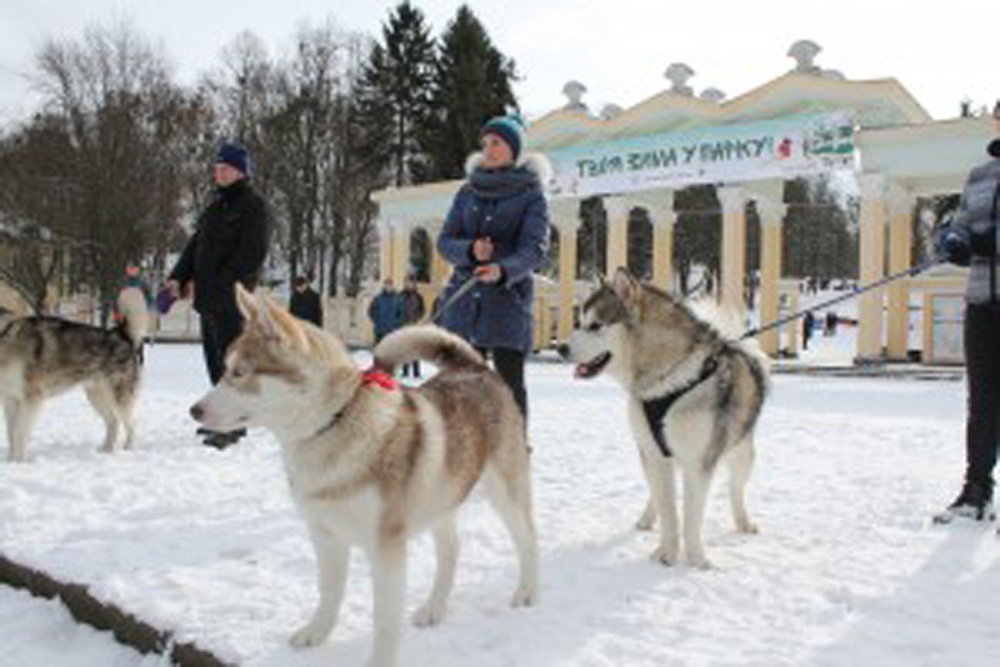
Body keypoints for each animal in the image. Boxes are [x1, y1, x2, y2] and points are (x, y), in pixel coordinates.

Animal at [0, 287, 148, 462]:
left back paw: (128, 450)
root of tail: (119, 333)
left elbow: (19, 432)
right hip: (96, 396)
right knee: (113, 422)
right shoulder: (9, 398)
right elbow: (10, 433)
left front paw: (19, 462)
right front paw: (11, 461)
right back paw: (106, 450)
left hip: (120, 398)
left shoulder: (32, 398)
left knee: (132, 424)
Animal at [189, 285, 537, 667]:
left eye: (240, 372)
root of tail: (474, 367)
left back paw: (526, 592)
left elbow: (383, 618)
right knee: (451, 551)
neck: (331, 424)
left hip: (505, 493)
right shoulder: (325, 535)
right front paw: (316, 633)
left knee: (528, 541)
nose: (194, 410)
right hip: (440, 498)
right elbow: (328, 591)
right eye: (226, 369)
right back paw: (433, 608)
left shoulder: (385, 548)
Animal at [566, 268, 769, 568]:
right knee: (656, 491)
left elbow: (692, 515)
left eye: (595, 326)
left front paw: (697, 559)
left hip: (742, 454)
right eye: (579, 322)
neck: (667, 378)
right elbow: (669, 510)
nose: (560, 348)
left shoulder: (698, 461)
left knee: (736, 490)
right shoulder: (653, 452)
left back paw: (743, 522)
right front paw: (667, 554)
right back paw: (647, 518)